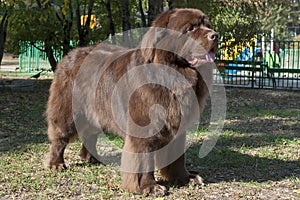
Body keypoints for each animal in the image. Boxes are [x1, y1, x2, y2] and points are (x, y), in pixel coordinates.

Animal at [44, 8, 218, 195]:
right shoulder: (143, 128)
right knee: (60, 137)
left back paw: (91, 158)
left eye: (207, 25)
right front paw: (148, 186)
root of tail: (70, 54)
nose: (215, 35)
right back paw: (56, 164)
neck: (171, 75)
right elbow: (144, 160)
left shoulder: (177, 127)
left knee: (90, 134)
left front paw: (186, 178)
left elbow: (177, 157)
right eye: (190, 29)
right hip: (68, 111)